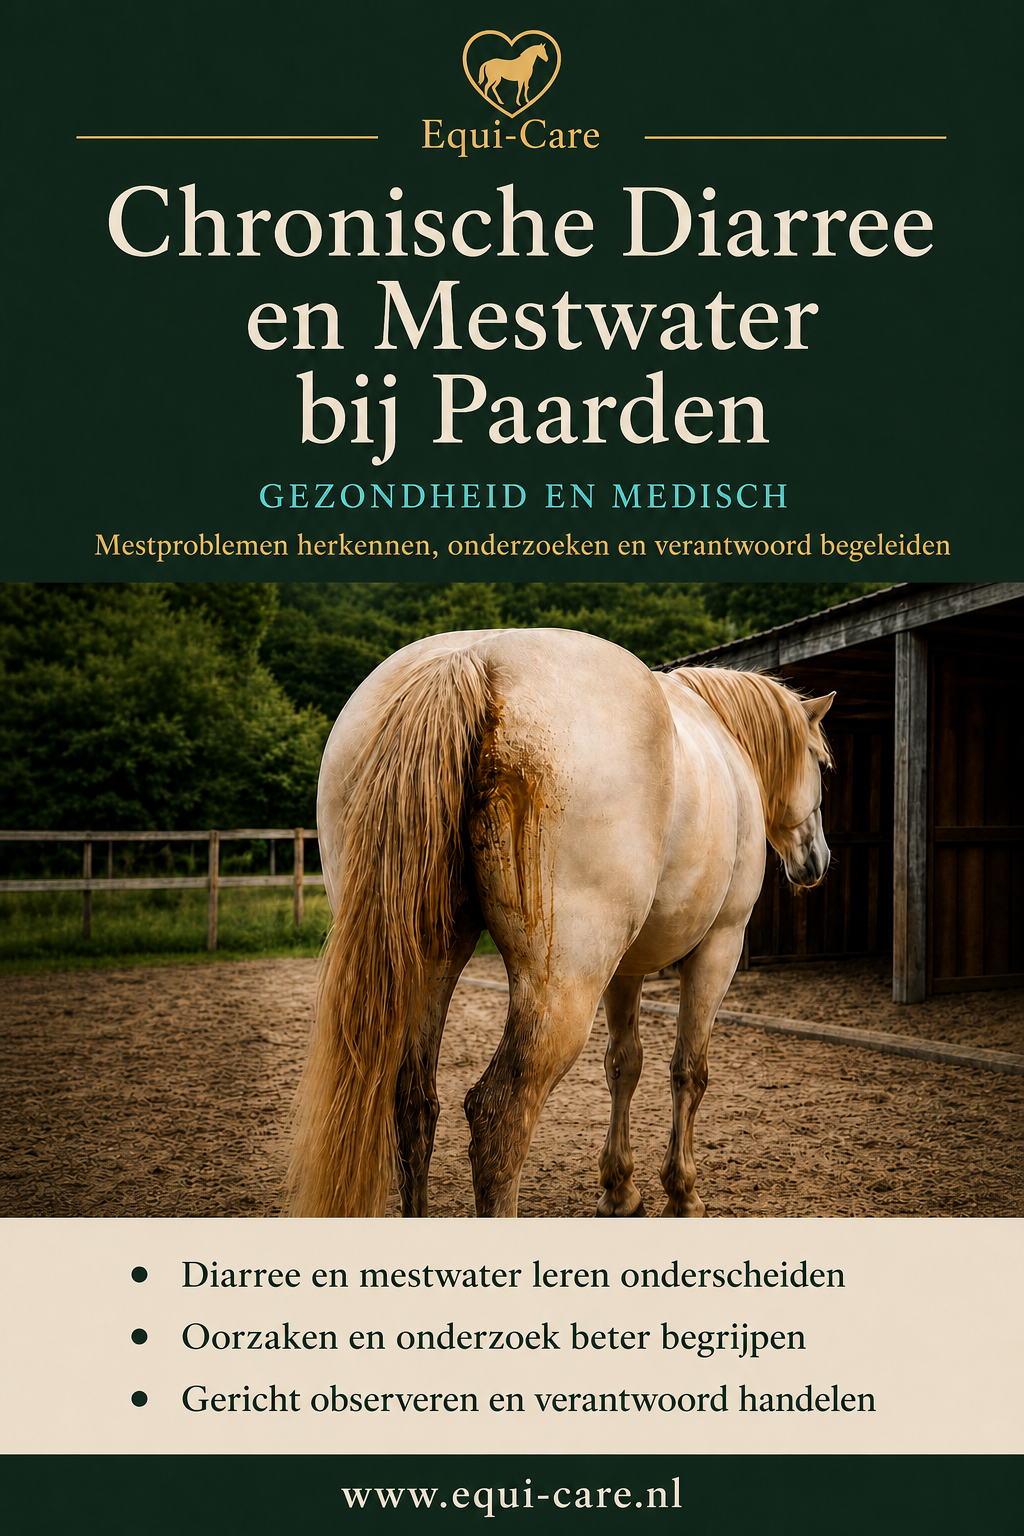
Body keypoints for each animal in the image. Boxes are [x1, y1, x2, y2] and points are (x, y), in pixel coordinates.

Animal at [287, 628, 833, 1220]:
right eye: (821, 763)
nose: (816, 861)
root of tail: (471, 660)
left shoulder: (625, 969)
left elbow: (624, 1064)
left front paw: (619, 1190)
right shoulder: (719, 947)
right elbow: (689, 1071)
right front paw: (682, 1193)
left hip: (430, 962)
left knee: (414, 1106)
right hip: (563, 983)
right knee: (499, 1118)